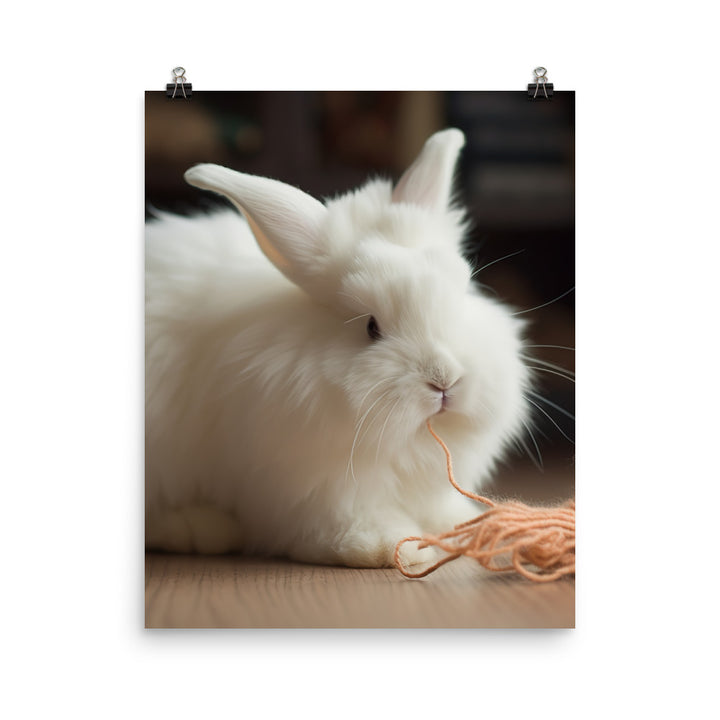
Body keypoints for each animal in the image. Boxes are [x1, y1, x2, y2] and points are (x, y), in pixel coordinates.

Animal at [145, 128, 530, 568]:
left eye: (463, 294)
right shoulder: (314, 487)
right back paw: (199, 528)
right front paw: (393, 547)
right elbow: (343, 525)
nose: (445, 380)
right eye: (371, 327)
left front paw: (469, 526)